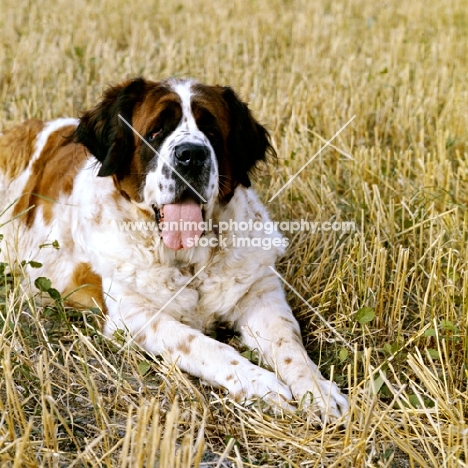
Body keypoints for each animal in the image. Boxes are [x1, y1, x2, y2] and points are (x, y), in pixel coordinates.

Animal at [0, 77, 350, 420]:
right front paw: (261, 383)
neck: (190, 261)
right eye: (156, 131)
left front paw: (317, 391)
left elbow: (288, 343)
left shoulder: (261, 294)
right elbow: (200, 343)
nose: (192, 154)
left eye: (211, 132)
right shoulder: (135, 317)